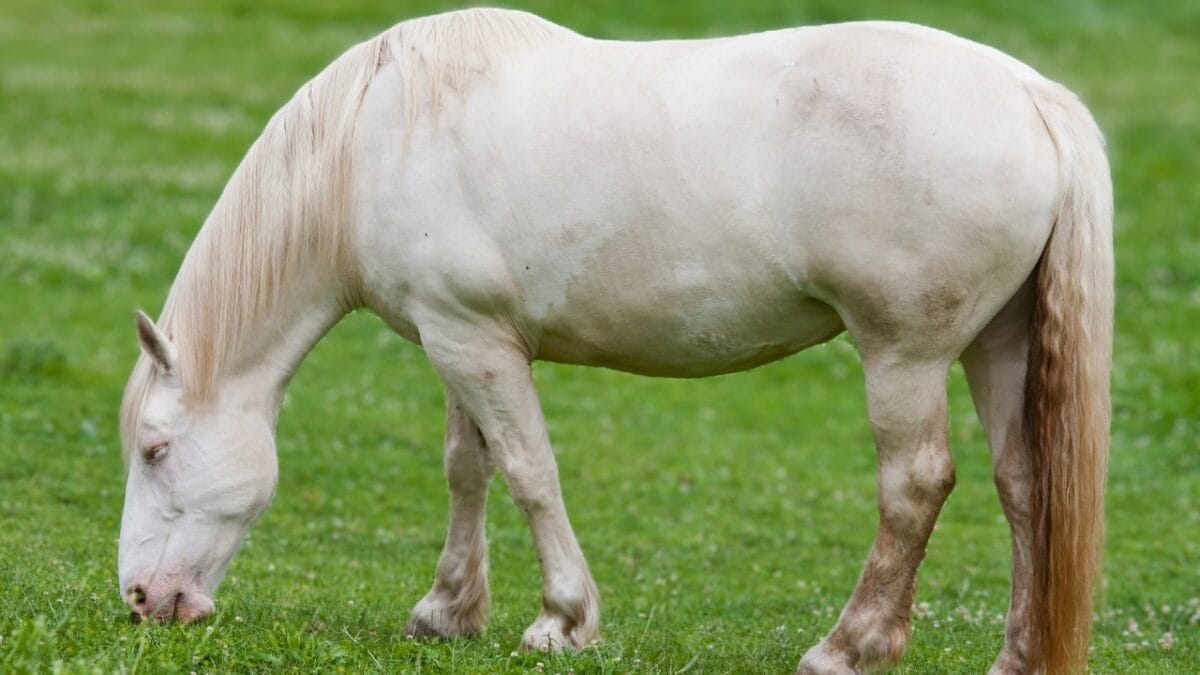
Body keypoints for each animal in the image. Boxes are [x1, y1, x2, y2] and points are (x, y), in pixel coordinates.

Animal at [117, 8, 1112, 674]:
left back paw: (847, 645)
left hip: (904, 356)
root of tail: (1032, 96)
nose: (141, 600)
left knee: (914, 486)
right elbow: (468, 468)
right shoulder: (459, 340)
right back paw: (1015, 656)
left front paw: (561, 618)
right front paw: (448, 609)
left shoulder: (474, 345)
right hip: (997, 345)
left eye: (156, 449)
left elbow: (528, 471)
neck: (375, 138)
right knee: (1025, 483)